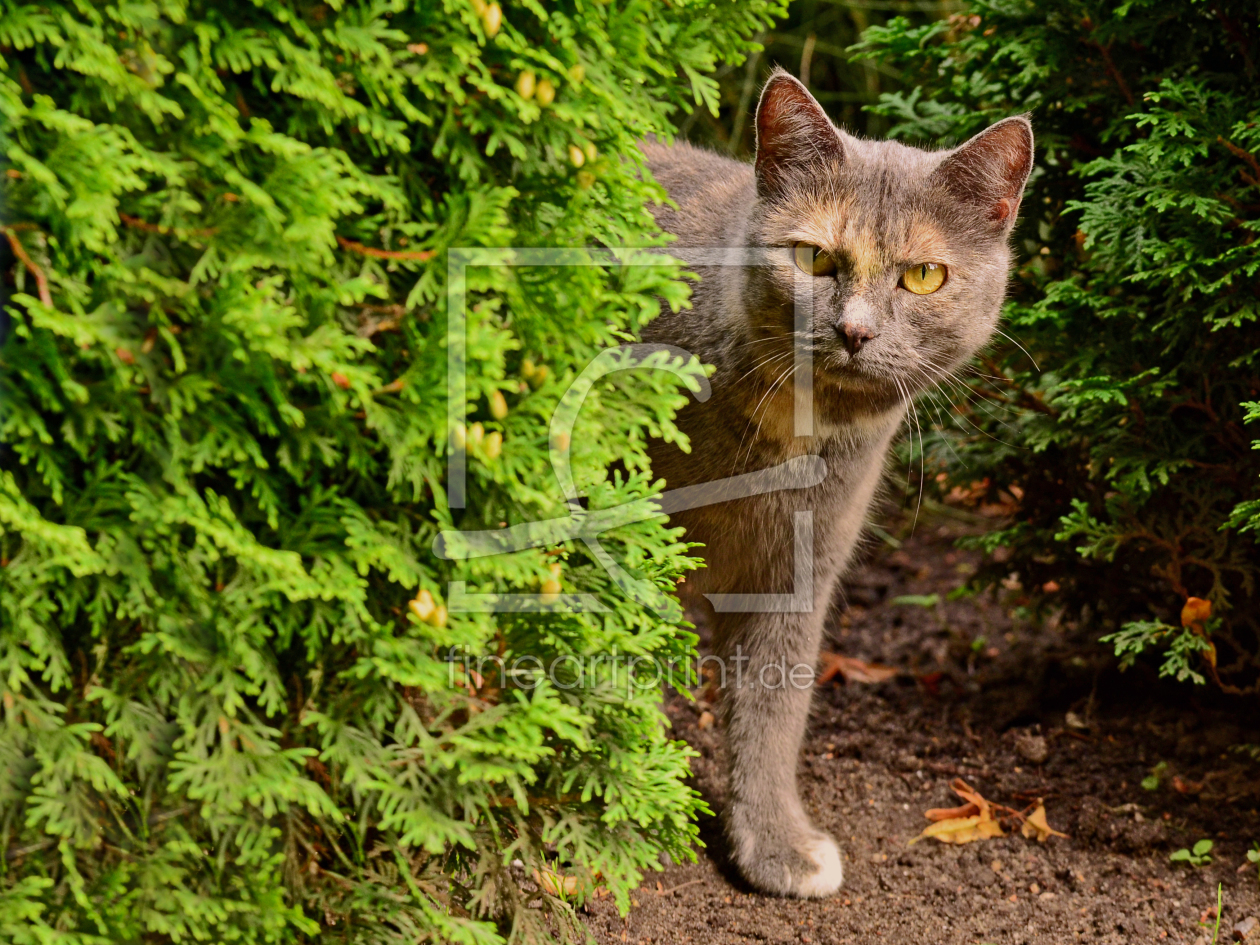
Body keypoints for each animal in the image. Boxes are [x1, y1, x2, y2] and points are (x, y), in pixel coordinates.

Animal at [640, 70, 1033, 897]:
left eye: (923, 275)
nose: (855, 330)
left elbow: (774, 706)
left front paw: (774, 847)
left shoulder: (803, 566)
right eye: (814, 259)